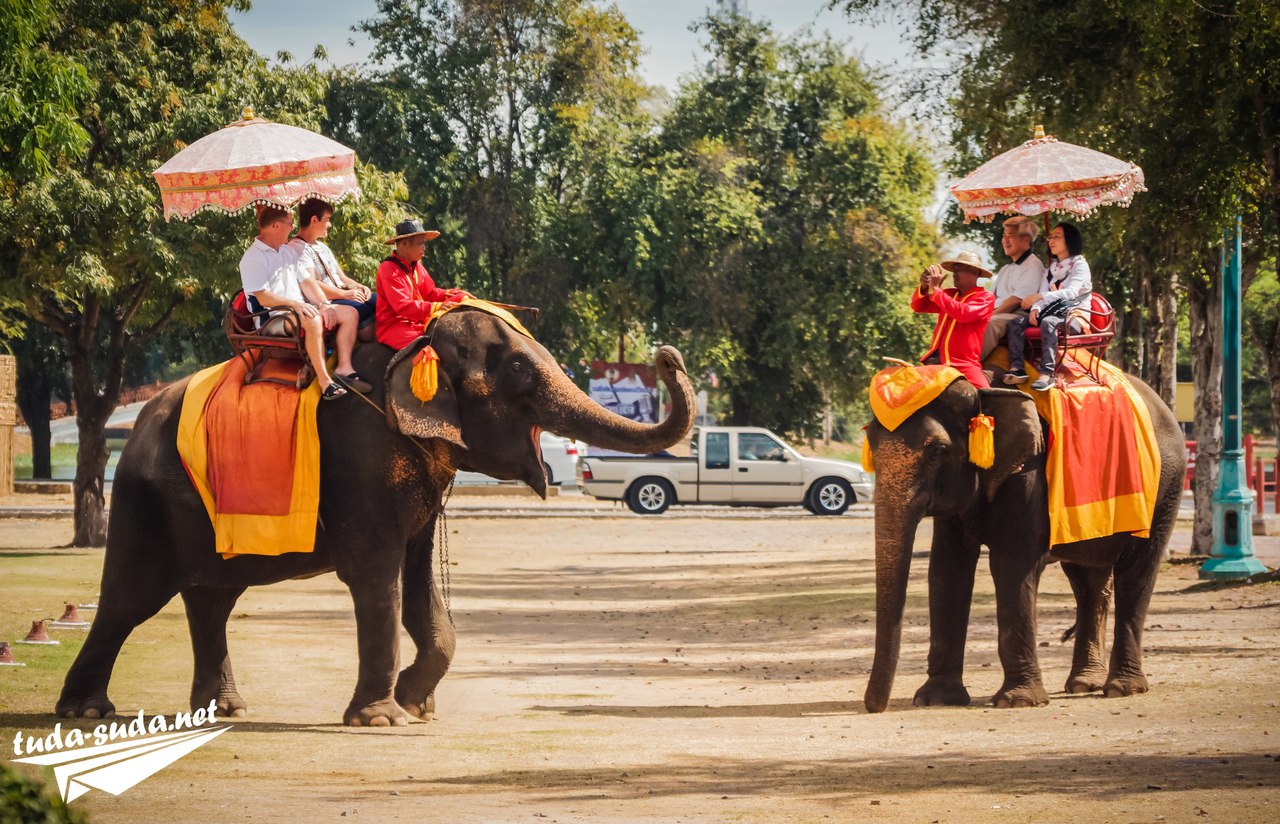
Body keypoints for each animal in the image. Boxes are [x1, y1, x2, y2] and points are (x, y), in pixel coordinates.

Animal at [55, 309, 696, 726]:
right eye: (517, 368)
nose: (668, 355)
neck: (409, 348)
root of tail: (136, 424)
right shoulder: (362, 457)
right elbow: (377, 578)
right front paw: (383, 719)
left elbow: (417, 583)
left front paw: (416, 707)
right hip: (144, 500)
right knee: (131, 599)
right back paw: (87, 711)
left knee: (213, 597)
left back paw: (225, 711)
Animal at [865, 373, 1182, 716]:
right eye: (870, 443)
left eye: (937, 450)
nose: (873, 708)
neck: (984, 392)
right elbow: (947, 570)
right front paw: (935, 699)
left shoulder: (1031, 471)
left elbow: (1012, 567)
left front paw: (1017, 701)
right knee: (1089, 580)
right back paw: (1085, 683)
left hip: (1164, 491)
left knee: (1137, 571)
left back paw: (1122, 689)